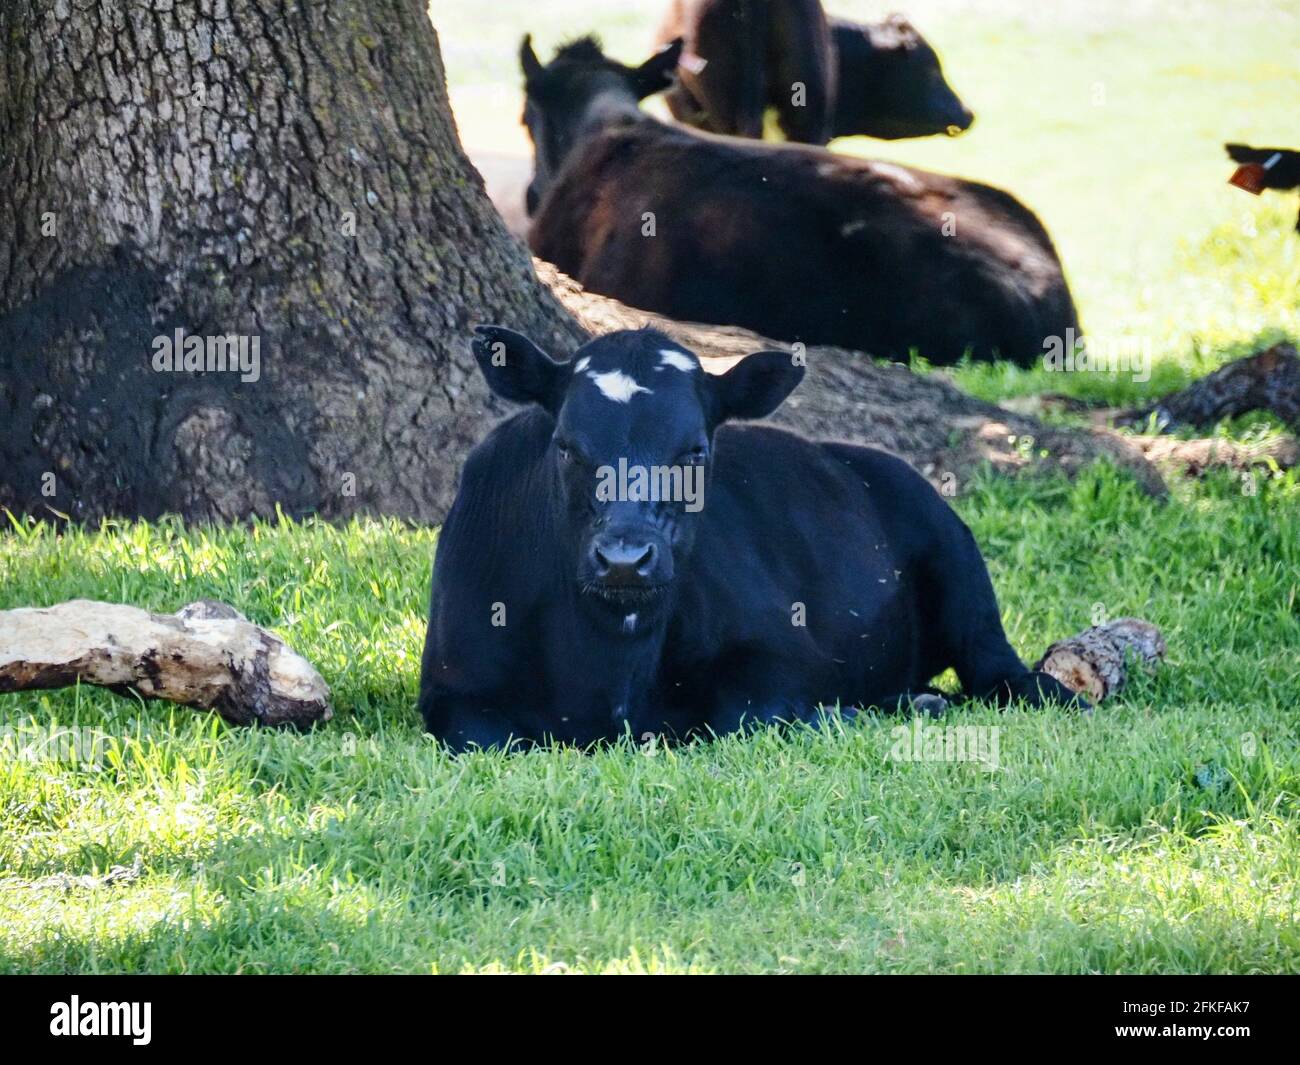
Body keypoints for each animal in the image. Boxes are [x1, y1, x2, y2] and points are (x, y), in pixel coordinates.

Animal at [417, 325, 1086, 751]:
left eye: (695, 449)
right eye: (565, 445)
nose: (625, 560)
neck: (610, 668)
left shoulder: (781, 652)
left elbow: (745, 716)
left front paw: (848, 712)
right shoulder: (451, 689)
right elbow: (489, 739)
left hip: (960, 567)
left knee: (1000, 671)